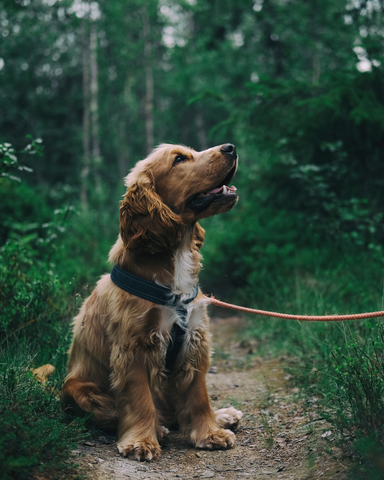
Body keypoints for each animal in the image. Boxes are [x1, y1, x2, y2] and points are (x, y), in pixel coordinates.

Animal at [63, 143, 243, 462]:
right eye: (179, 159)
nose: (231, 147)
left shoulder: (194, 339)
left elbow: (198, 395)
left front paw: (210, 432)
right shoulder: (135, 346)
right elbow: (139, 399)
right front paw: (141, 441)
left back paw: (222, 415)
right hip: (76, 387)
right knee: (117, 413)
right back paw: (158, 428)